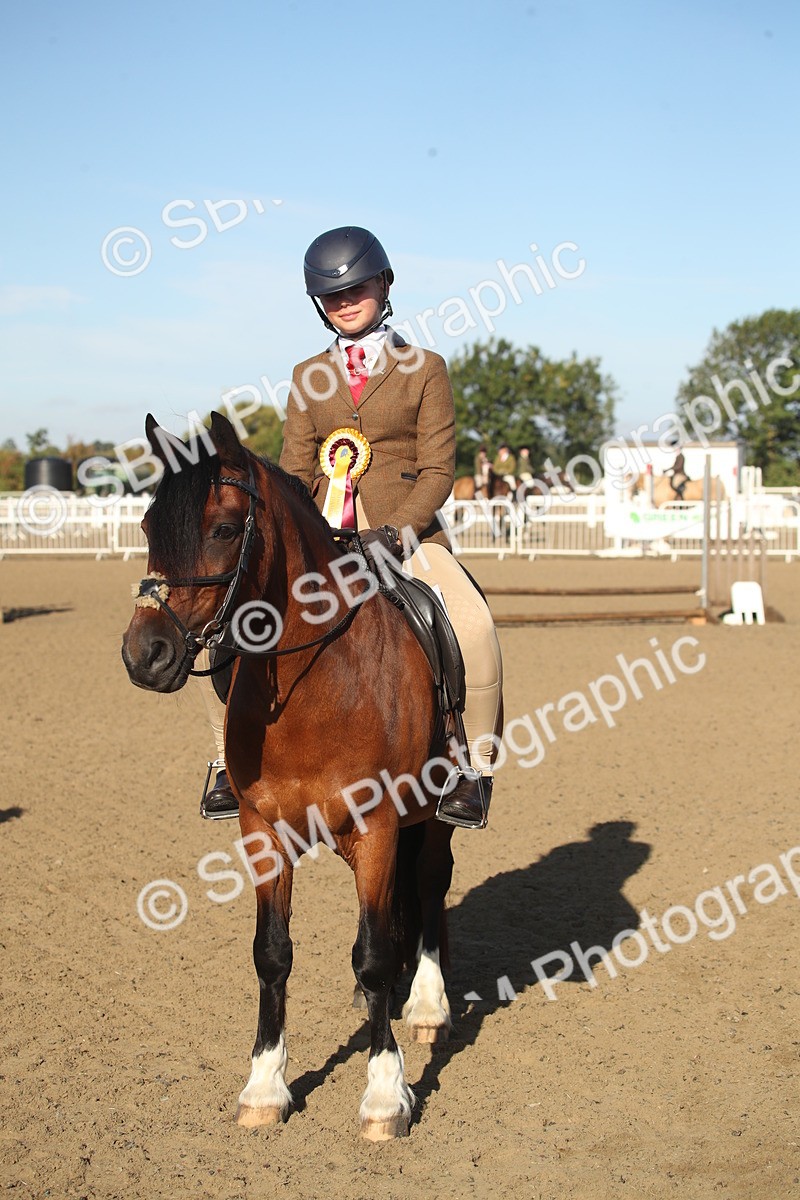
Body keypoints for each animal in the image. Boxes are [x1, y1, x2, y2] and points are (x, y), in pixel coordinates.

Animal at [122, 412, 458, 1141]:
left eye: (224, 529)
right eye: (148, 525)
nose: (145, 654)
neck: (319, 684)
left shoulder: (379, 825)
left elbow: (374, 951)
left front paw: (385, 1096)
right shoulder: (262, 831)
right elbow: (272, 953)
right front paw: (265, 1086)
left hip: (433, 817)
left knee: (428, 885)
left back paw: (426, 1005)